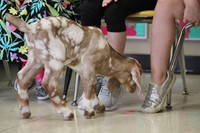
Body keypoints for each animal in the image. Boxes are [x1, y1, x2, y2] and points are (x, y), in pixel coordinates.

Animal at [5, 13, 142, 120]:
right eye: (133, 78)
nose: (133, 89)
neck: (108, 56)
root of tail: (31, 28)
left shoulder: (85, 72)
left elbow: (92, 89)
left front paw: (98, 106)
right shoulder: (88, 67)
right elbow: (89, 88)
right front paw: (89, 111)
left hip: (36, 59)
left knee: (22, 78)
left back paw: (25, 112)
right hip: (55, 60)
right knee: (48, 84)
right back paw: (67, 113)